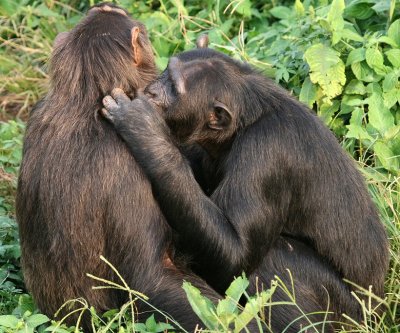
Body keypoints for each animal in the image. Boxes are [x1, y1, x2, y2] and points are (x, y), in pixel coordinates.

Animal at [101, 48, 390, 330]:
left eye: (173, 86)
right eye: (165, 74)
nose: (150, 91)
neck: (244, 124)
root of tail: (380, 309)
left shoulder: (267, 155)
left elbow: (235, 255)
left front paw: (143, 127)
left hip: (349, 315)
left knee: (277, 262)